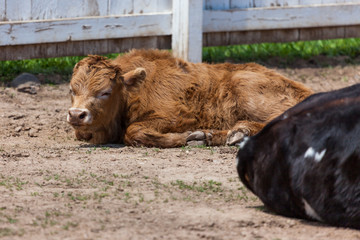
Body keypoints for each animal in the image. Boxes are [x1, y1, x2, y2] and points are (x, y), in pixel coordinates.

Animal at [67, 49, 312, 147]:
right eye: (72, 90)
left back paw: (237, 131)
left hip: (244, 87)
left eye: (105, 92)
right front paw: (196, 136)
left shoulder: (175, 117)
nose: (77, 115)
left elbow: (134, 131)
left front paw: (183, 138)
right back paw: (214, 135)